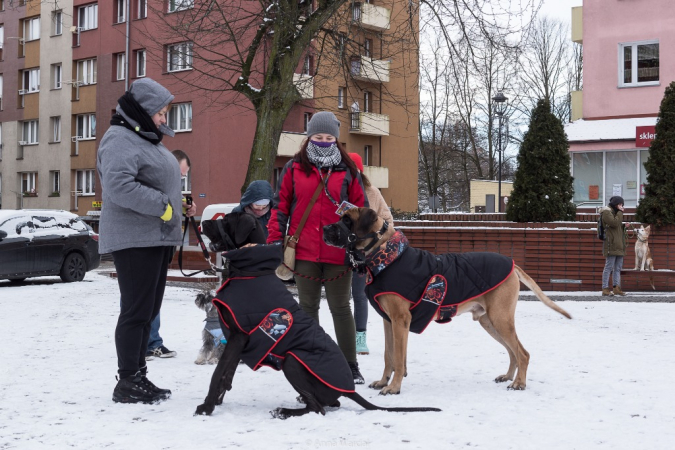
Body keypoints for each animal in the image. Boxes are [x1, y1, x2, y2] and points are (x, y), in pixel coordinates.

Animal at [194, 211, 444, 418]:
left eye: (227, 219)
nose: (203, 223)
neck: (249, 269)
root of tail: (349, 389)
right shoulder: (236, 339)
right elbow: (227, 375)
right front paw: (216, 402)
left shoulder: (238, 336)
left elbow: (218, 373)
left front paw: (206, 407)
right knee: (328, 404)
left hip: (292, 360)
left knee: (319, 408)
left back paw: (284, 411)